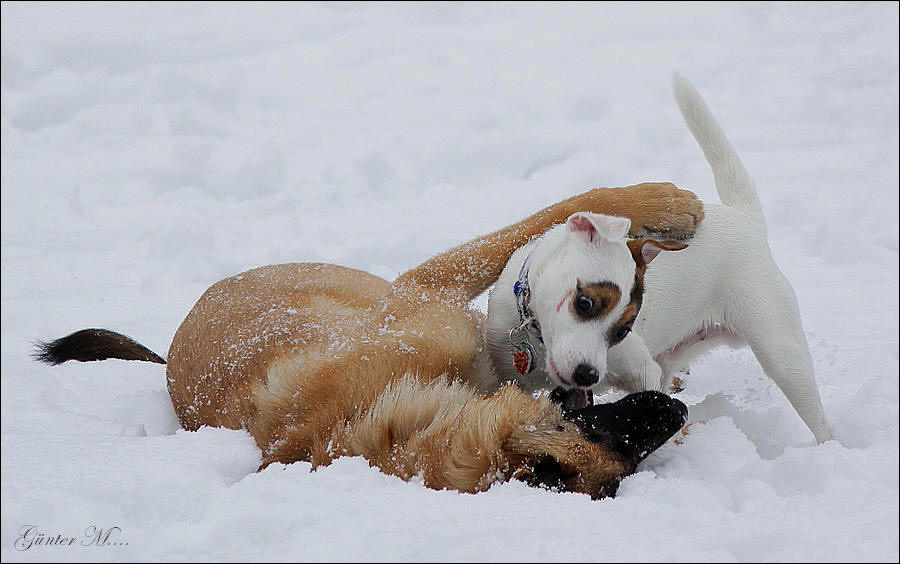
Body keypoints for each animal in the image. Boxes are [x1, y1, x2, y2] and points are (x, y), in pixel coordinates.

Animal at [488, 75, 832, 442]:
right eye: (584, 303)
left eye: (624, 330)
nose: (587, 375)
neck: (535, 337)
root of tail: (745, 217)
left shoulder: (643, 372)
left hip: (780, 350)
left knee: (816, 415)